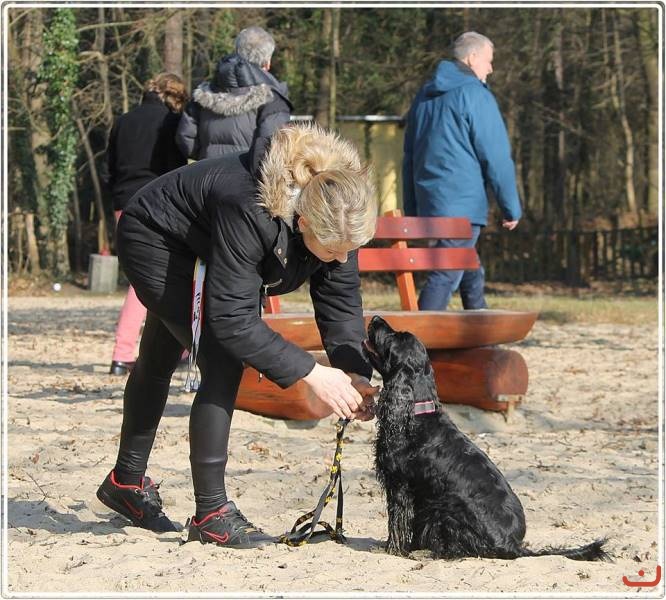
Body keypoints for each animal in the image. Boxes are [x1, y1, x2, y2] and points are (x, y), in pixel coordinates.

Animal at [363, 315, 608, 561]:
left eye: (394, 336)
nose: (375, 318)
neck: (416, 414)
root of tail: (512, 545)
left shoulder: (400, 485)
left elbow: (398, 522)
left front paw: (393, 550)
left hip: (444, 508)